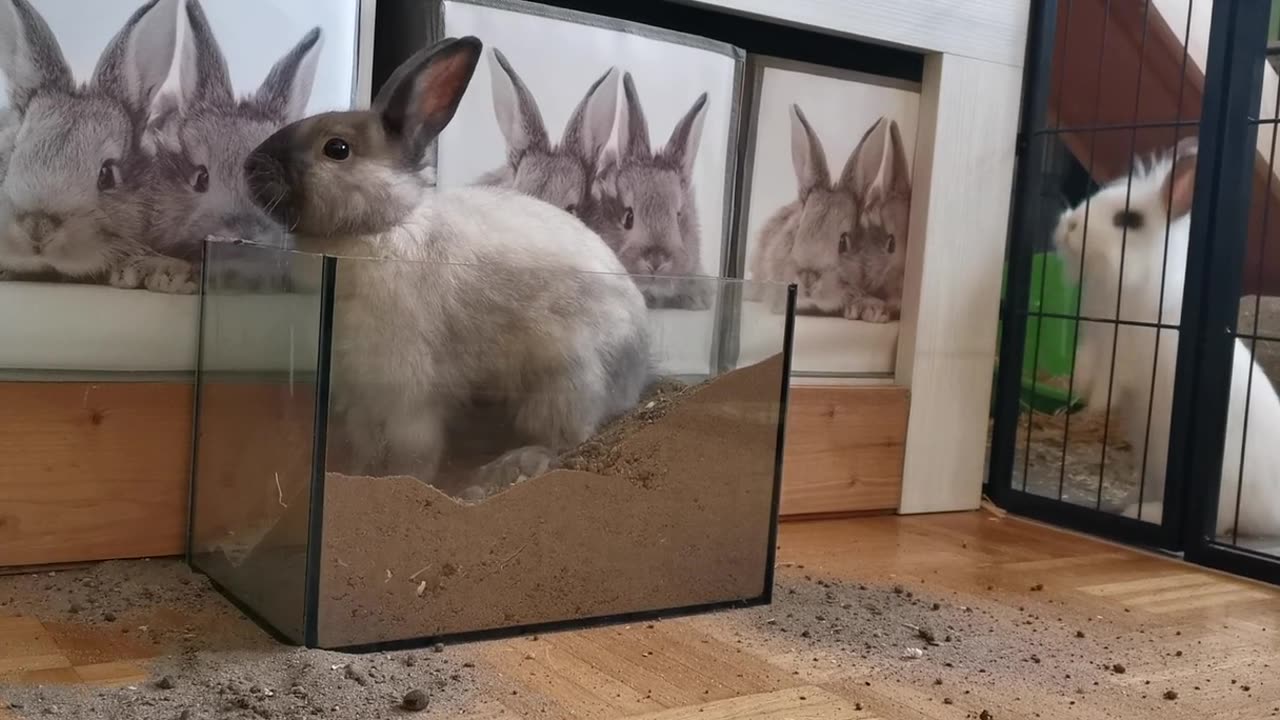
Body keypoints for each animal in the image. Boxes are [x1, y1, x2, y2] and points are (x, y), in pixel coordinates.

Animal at [245, 36, 655, 502]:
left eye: (337, 149)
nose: (249, 166)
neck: (384, 226)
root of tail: (635, 375)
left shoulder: (406, 391)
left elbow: (414, 452)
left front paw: (400, 483)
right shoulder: (358, 393)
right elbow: (366, 446)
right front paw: (358, 475)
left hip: (567, 380)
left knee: (566, 438)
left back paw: (504, 469)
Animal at [1049, 137, 1280, 535]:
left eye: (1128, 220)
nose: (1069, 225)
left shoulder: (1122, 358)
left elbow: (1107, 387)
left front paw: (1090, 409)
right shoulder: (1094, 345)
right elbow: (1084, 369)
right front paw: (1074, 391)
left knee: (1220, 521)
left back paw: (1143, 513)